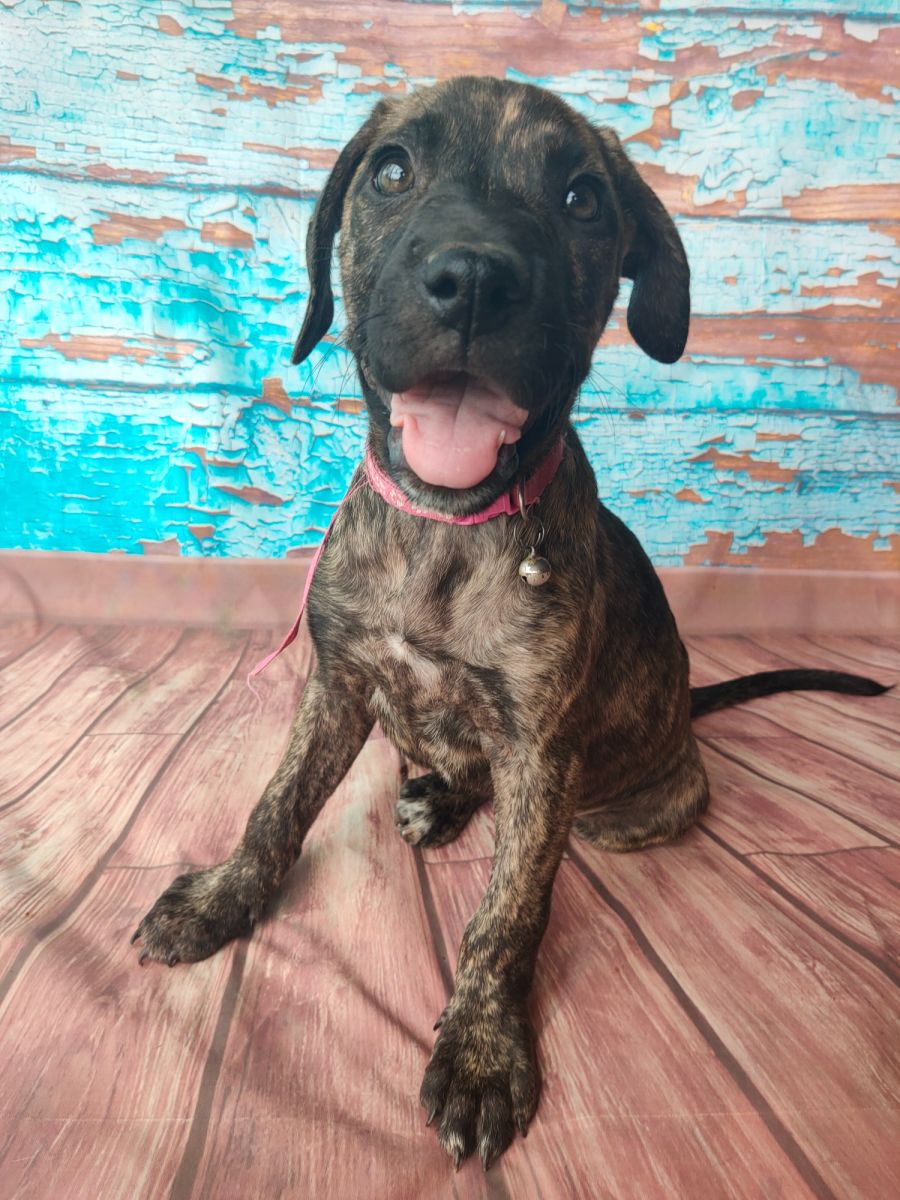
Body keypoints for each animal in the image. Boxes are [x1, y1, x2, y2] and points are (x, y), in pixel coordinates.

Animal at [133, 76, 886, 1170]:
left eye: (582, 200)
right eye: (391, 171)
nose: (475, 282)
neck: (446, 529)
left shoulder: (540, 745)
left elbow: (511, 909)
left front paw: (484, 1052)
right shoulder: (338, 681)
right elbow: (276, 806)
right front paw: (223, 898)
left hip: (627, 810)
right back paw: (439, 797)